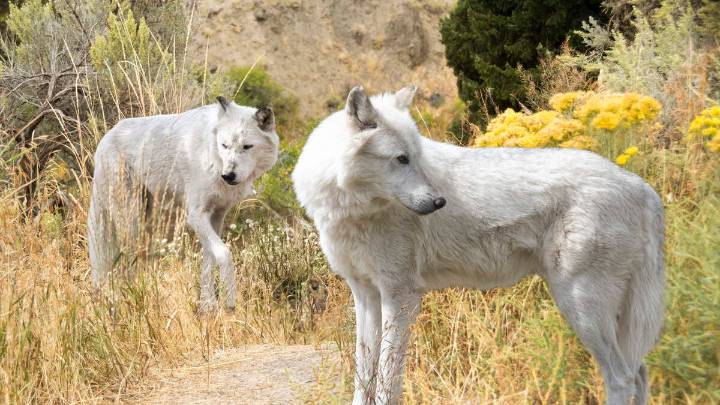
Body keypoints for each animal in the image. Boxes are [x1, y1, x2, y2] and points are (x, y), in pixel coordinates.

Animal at [88, 97, 279, 310]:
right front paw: (229, 302)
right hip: (131, 221)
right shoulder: (196, 215)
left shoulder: (216, 215)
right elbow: (224, 254)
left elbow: (208, 260)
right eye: (225, 145)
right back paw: (126, 300)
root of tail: (104, 139)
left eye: (247, 146)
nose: (228, 175)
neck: (212, 156)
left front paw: (207, 305)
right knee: (123, 261)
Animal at [292, 86, 665, 405]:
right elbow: (363, 378)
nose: (439, 202)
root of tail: (643, 188)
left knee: (622, 378)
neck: (352, 209)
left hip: (581, 308)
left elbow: (387, 383)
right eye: (401, 159)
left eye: (415, 157)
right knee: (641, 372)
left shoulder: (400, 297)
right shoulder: (366, 296)